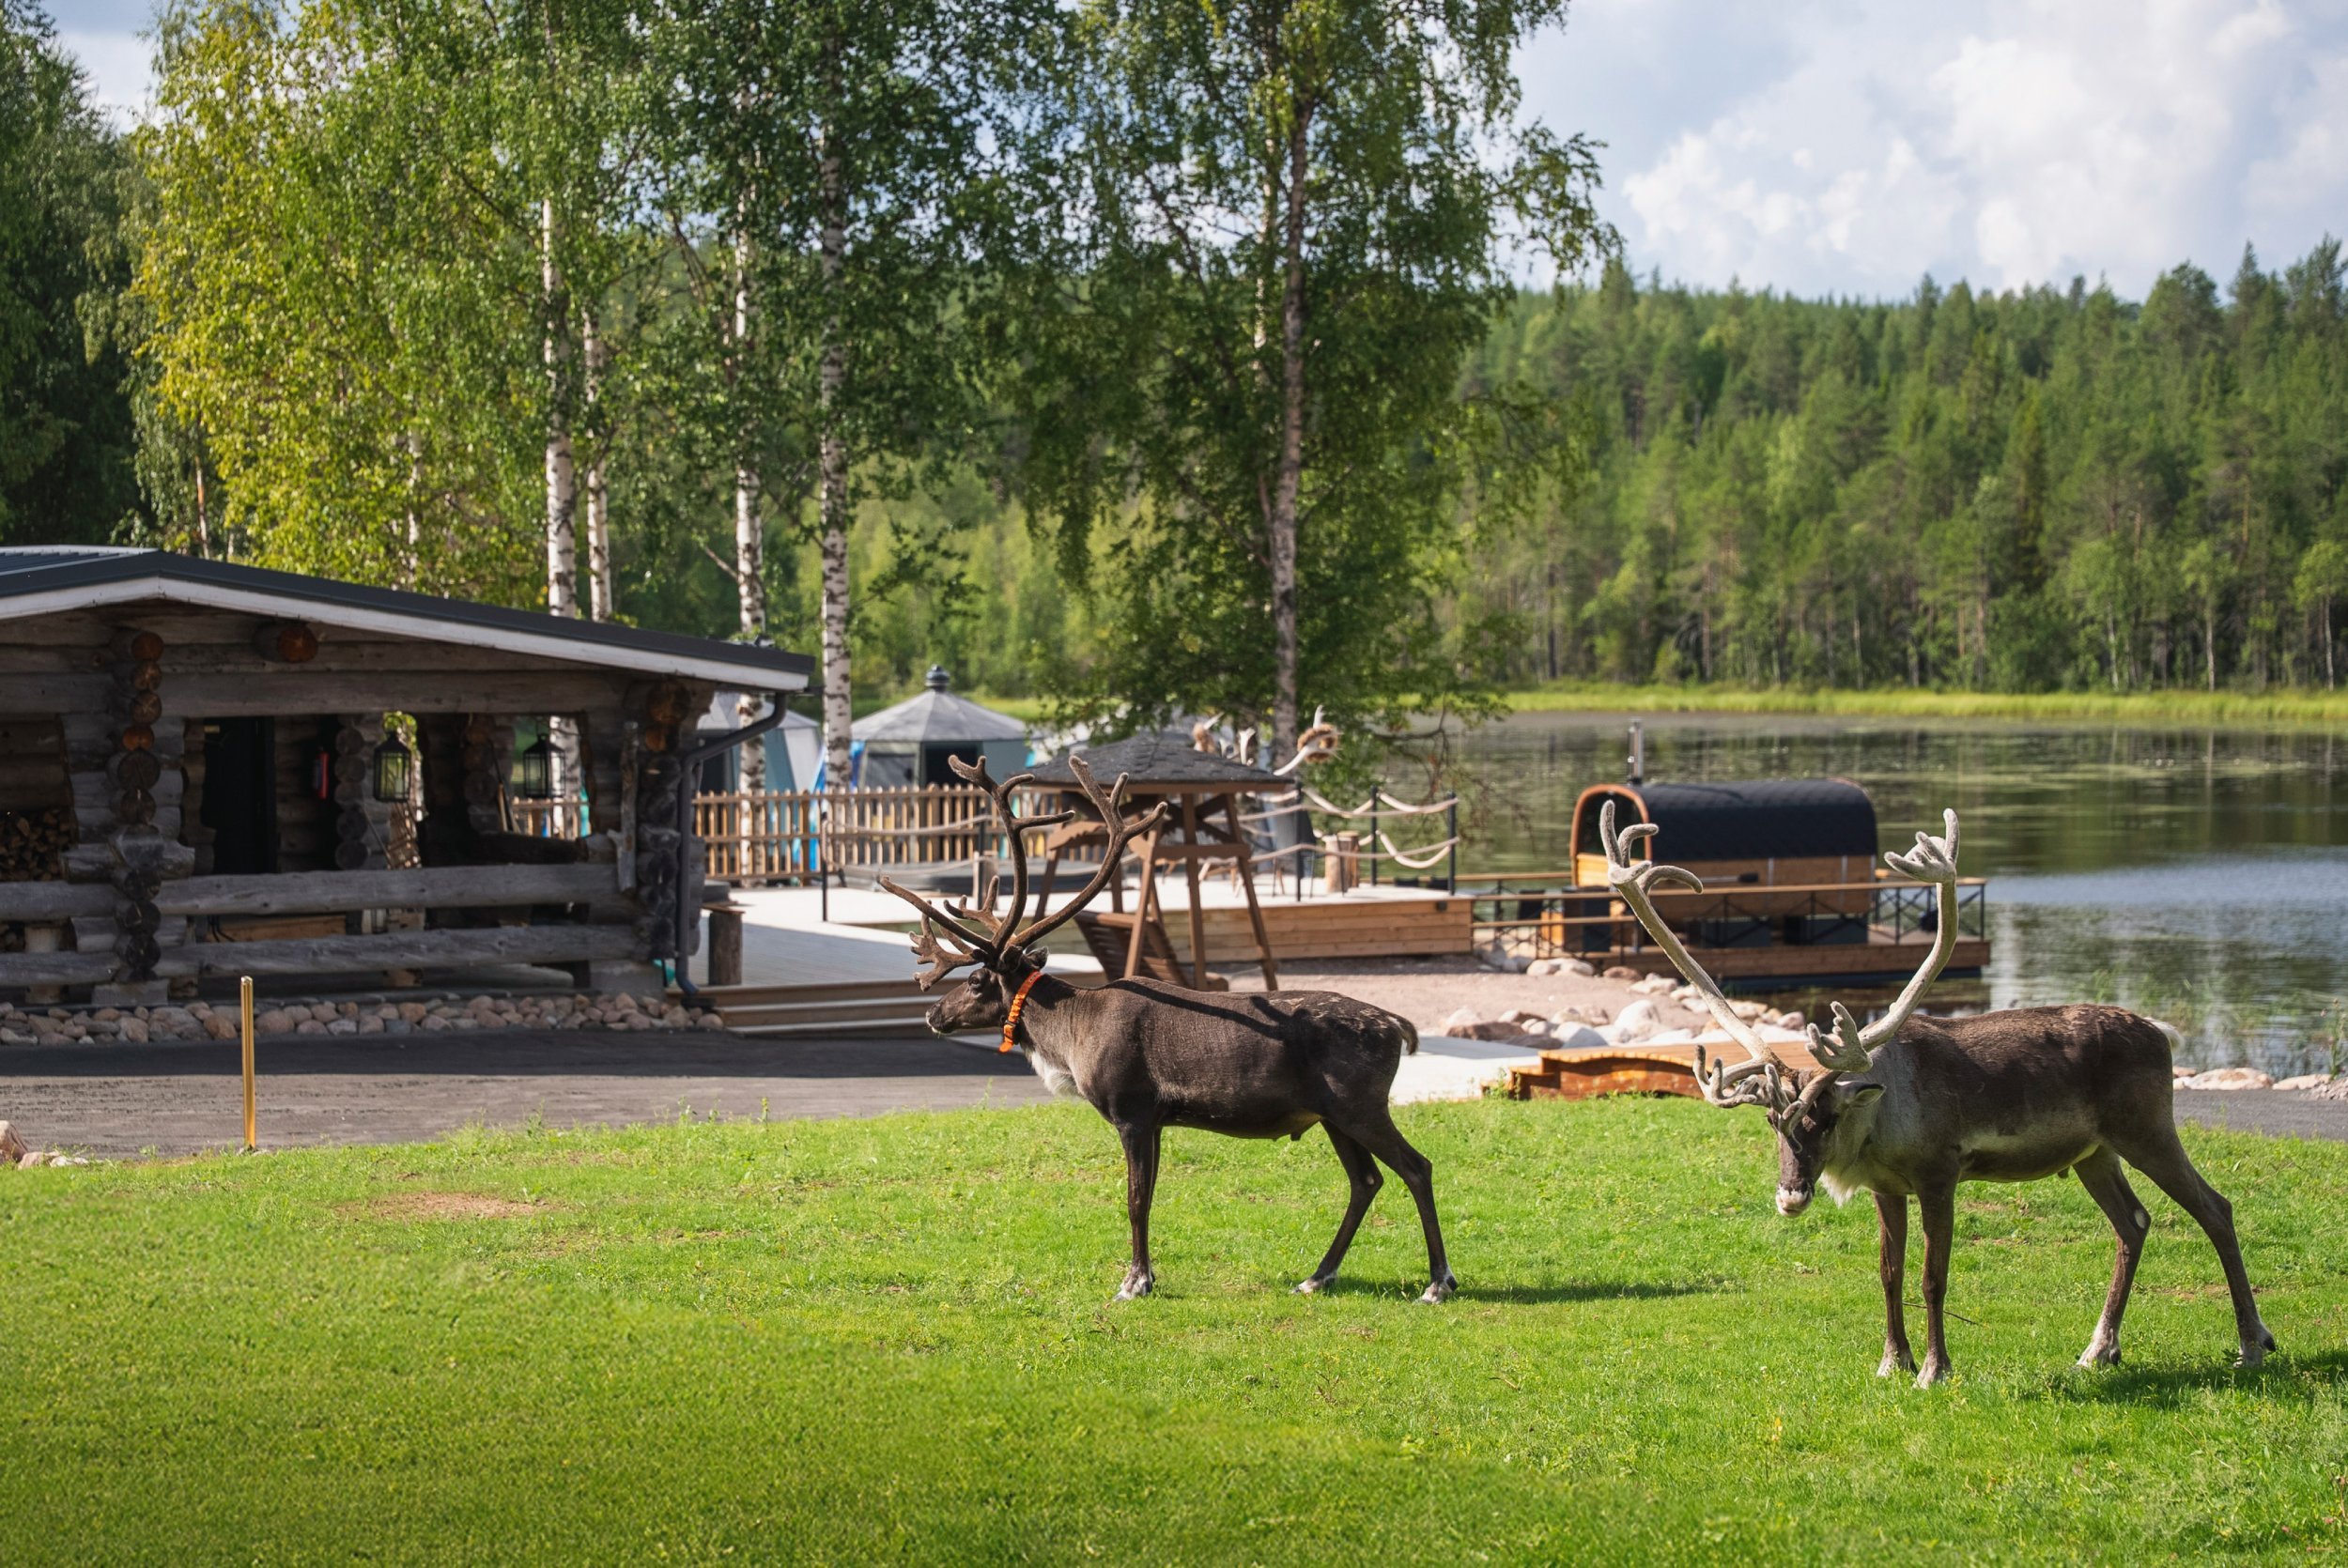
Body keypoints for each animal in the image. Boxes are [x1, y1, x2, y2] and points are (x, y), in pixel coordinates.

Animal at [878, 754, 1457, 1305]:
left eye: (977, 980)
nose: (933, 1014)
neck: (1071, 1035)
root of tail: (1398, 1027)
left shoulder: (1132, 1110)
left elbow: (1135, 1200)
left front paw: (1134, 1282)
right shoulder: (1157, 1119)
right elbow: (1150, 1197)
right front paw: (1147, 1276)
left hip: (1360, 1105)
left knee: (1417, 1167)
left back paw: (1437, 1282)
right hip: (1332, 1114)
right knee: (1366, 1179)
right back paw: (1317, 1277)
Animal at [1598, 799, 2274, 1387]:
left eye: (1826, 1116)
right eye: (1773, 1123)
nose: (1790, 1196)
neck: (1882, 1120)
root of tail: (2162, 1034)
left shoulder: (1940, 1174)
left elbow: (1932, 1276)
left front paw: (1933, 1369)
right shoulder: (1886, 1188)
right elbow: (1888, 1273)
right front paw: (1890, 1361)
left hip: (2146, 1127)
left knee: (2216, 1208)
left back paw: (2252, 1343)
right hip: (2094, 1153)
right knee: (2134, 1223)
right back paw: (2098, 1349)